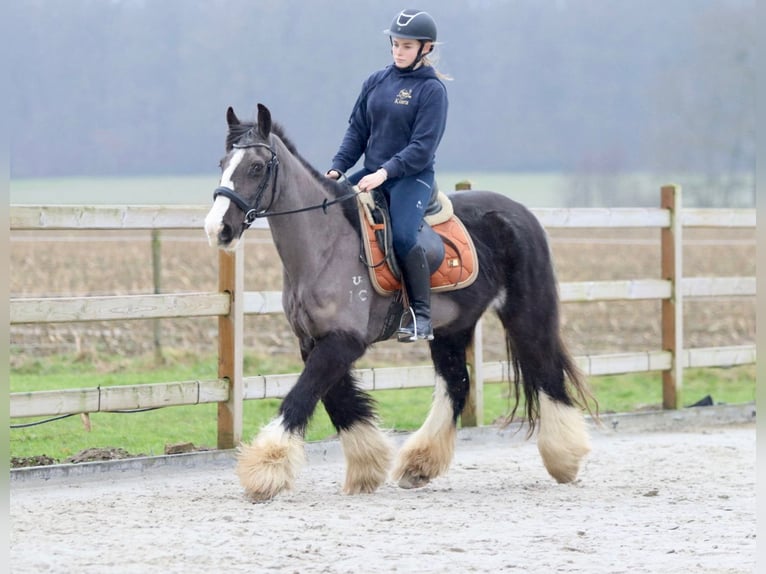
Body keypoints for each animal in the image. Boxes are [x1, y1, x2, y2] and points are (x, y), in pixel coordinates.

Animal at [202, 104, 592, 504]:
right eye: (223, 163)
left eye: (256, 167)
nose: (218, 229)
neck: (326, 247)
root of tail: (520, 213)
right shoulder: (314, 341)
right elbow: (339, 401)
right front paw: (367, 465)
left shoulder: (344, 341)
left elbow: (302, 396)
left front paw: (266, 468)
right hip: (451, 330)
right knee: (457, 385)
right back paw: (419, 464)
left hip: (526, 315)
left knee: (547, 373)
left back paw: (565, 458)